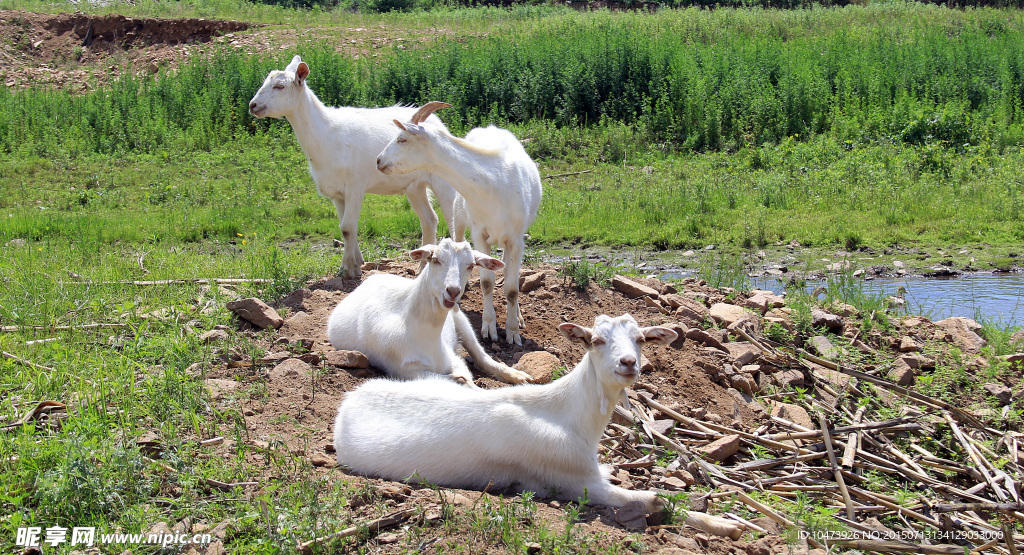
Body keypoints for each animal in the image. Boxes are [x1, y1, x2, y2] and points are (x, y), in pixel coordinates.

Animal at [247, 57, 456, 278]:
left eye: (280, 86)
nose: (253, 105)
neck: (327, 134)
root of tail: (438, 123)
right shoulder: (338, 194)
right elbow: (346, 229)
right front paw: (357, 263)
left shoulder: (355, 186)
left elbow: (347, 227)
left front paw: (346, 269)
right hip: (414, 186)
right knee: (429, 219)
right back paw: (422, 267)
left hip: (442, 181)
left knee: (451, 216)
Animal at [325, 238, 536, 387]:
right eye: (435, 260)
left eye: (470, 265)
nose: (453, 291)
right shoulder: (402, 370)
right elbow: (461, 380)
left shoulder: (452, 359)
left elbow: (464, 377)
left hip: (461, 319)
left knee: (481, 357)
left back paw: (520, 376)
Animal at [331, 317, 675, 514]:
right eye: (597, 340)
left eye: (641, 339)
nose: (628, 362)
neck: (567, 414)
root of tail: (350, 399)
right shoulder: (570, 480)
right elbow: (651, 499)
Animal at [376, 101, 544, 346]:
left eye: (402, 139)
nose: (379, 161)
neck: (492, 184)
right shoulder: (480, 233)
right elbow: (487, 282)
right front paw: (489, 328)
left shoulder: (516, 238)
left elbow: (512, 288)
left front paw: (513, 331)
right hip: (459, 216)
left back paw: (518, 316)